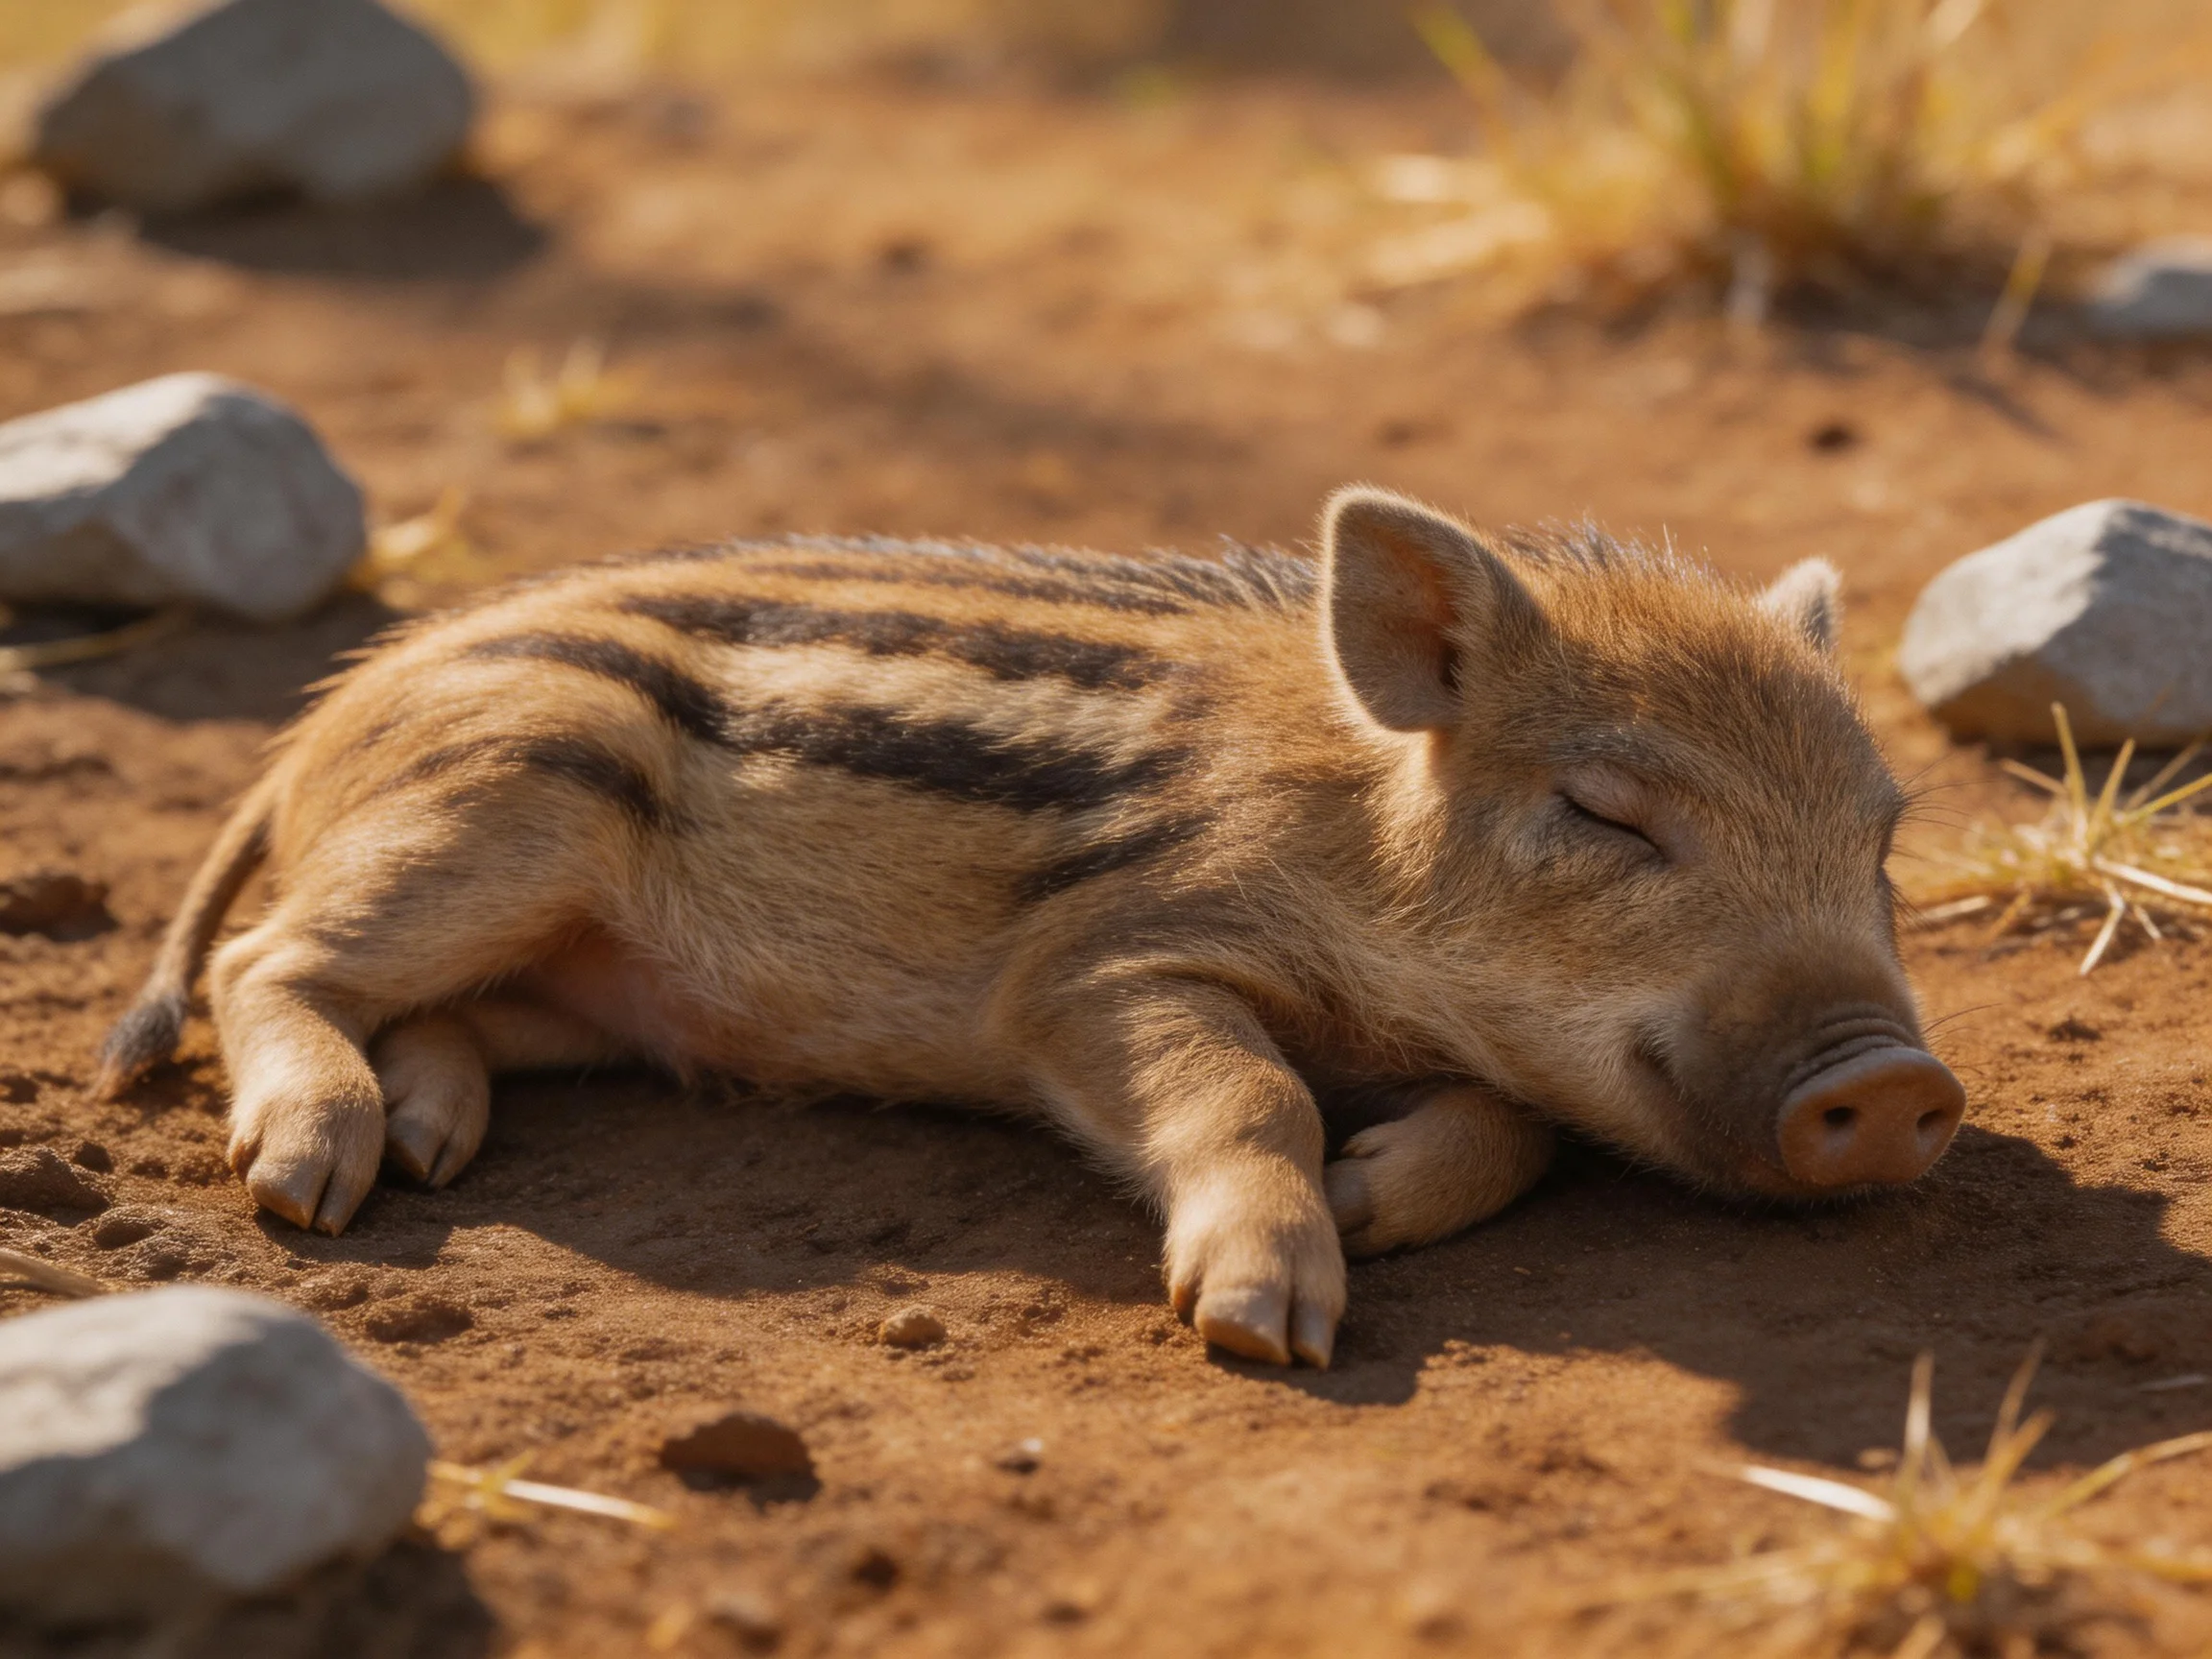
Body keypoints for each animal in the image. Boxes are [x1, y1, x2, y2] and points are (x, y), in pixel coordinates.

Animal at [96, 488, 1964, 1367]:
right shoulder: (1100, 967)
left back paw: (428, 1138)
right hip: (501, 810)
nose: (1888, 1082)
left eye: (1882, 839)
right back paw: (320, 1178)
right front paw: (1262, 1321)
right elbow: (1246, 1094)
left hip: (576, 976)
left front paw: (1370, 1199)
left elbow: (1515, 1125)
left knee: (435, 1019)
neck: (1359, 858)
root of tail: (327, 718)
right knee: (271, 961)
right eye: (1604, 813)